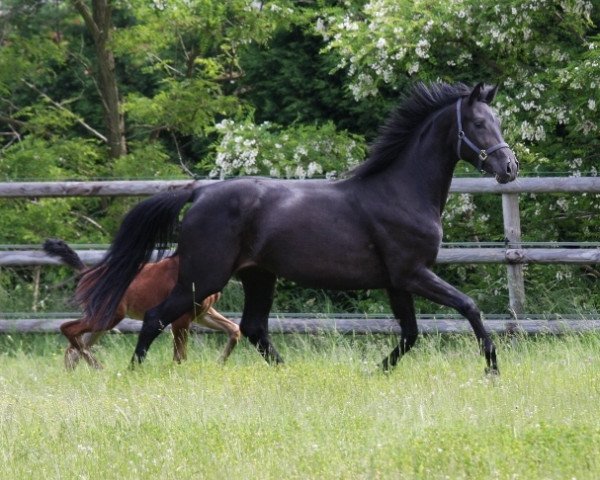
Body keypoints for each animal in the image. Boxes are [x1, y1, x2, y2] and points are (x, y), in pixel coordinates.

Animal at [44, 238, 239, 370]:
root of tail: (86, 273)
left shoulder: (202, 313)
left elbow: (234, 330)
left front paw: (220, 363)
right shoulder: (181, 319)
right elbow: (180, 356)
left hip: (102, 321)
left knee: (73, 347)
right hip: (108, 317)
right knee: (68, 329)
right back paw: (98, 367)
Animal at [81, 82, 520, 374]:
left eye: (496, 121)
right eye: (478, 123)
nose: (509, 168)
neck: (401, 191)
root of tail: (200, 192)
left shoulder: (397, 281)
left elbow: (410, 333)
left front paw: (376, 372)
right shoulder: (413, 274)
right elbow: (469, 306)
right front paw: (492, 369)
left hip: (259, 275)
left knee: (253, 328)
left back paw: (287, 372)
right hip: (204, 276)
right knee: (157, 316)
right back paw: (134, 373)